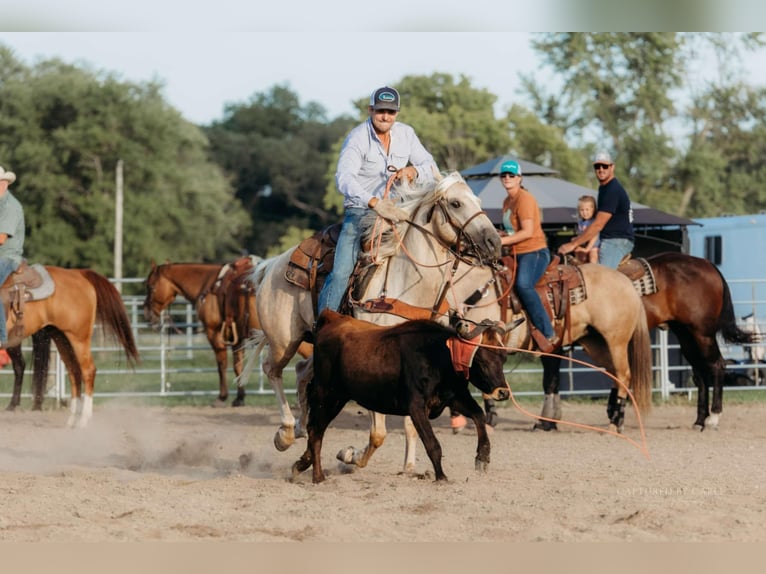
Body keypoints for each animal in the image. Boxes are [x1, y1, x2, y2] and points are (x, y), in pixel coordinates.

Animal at [2, 266, 140, 428]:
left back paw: (84, 420)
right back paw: (72, 419)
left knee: (88, 371)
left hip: (79, 338)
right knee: (74, 372)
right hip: (61, 337)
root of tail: (78, 273)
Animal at [246, 171, 508, 454]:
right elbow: (379, 432)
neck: (408, 283)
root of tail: (273, 263)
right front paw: (350, 456)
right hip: (284, 340)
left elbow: (408, 426)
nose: (494, 243)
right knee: (272, 369)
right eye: (456, 203)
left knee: (302, 371)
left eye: (478, 200)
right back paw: (284, 432)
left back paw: (299, 428)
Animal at [536, 252, 760, 432]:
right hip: (686, 335)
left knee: (716, 366)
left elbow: (550, 380)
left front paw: (546, 421)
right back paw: (699, 421)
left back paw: (713, 418)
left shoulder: (554, 346)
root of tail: (707, 264)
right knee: (700, 374)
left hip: (702, 334)